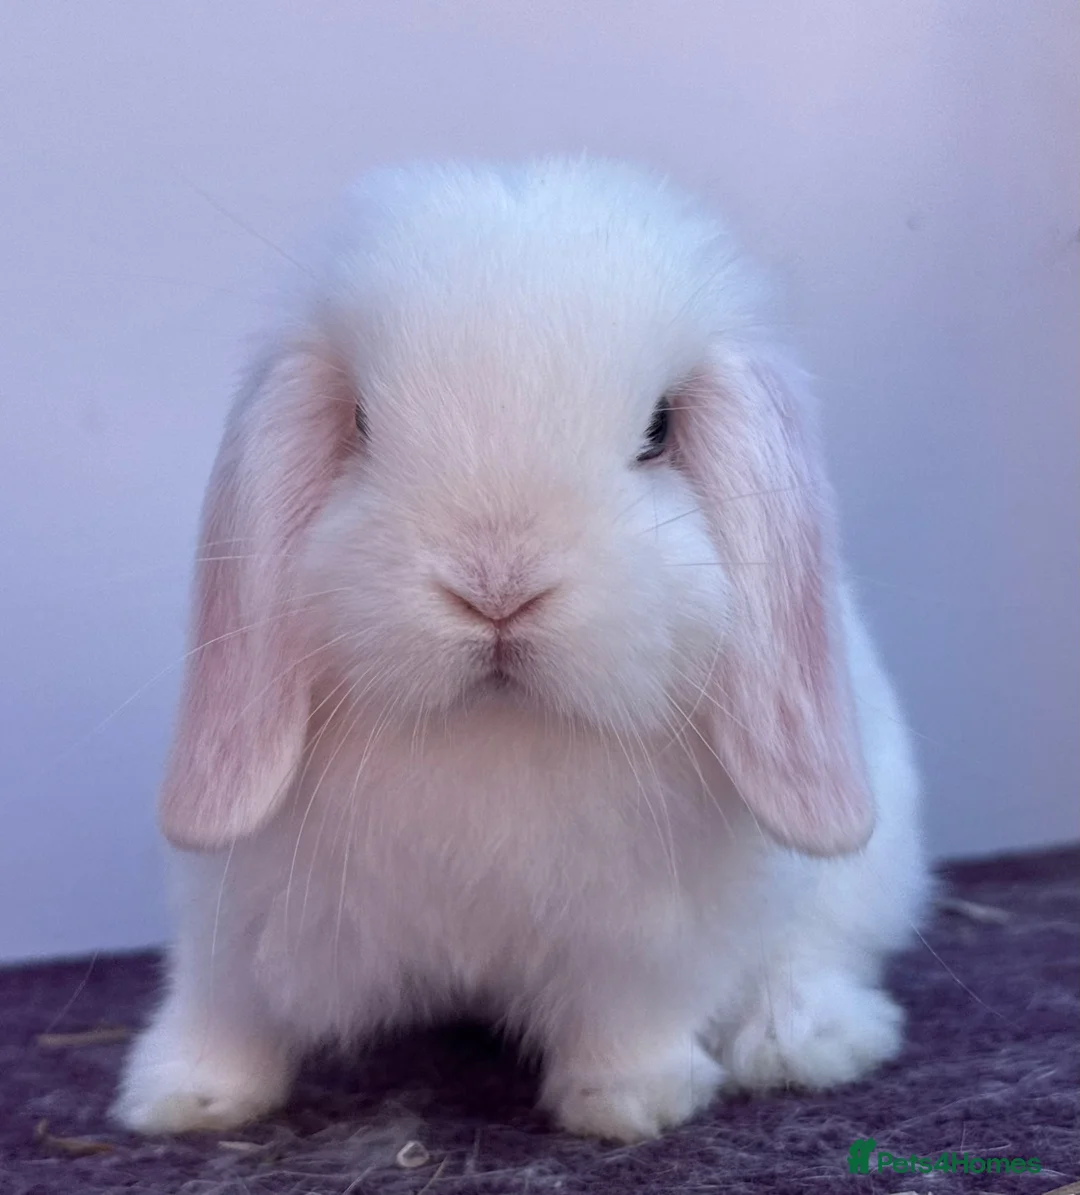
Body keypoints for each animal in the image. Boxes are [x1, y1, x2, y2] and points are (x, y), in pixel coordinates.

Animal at [114, 158, 928, 1144]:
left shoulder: (651, 942)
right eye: (360, 422)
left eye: (659, 428)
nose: (496, 585)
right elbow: (224, 1006)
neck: (492, 733)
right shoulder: (235, 913)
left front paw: (629, 1102)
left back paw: (803, 1042)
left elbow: (633, 1016)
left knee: (811, 961)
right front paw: (183, 1096)